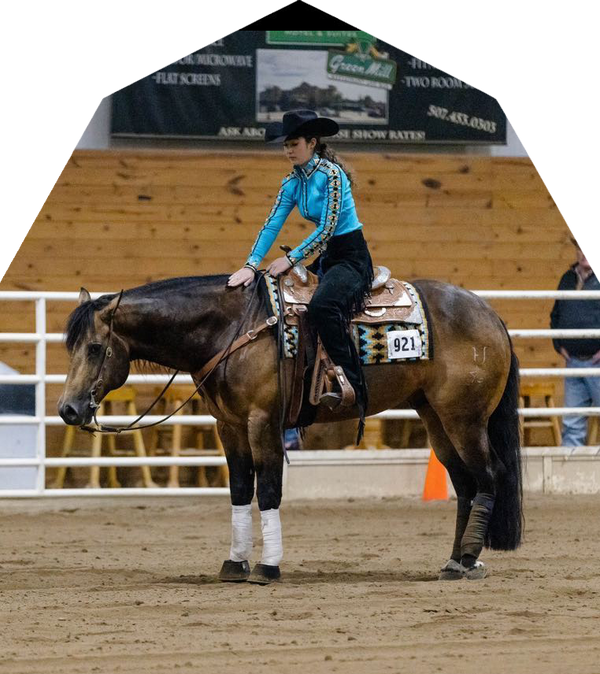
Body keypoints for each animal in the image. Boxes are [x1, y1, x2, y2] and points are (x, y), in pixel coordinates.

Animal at [58, 272, 523, 584]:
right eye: (71, 347)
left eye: (95, 348)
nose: (68, 409)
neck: (233, 329)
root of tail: (491, 315)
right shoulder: (229, 426)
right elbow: (240, 490)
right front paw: (235, 563)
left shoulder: (262, 421)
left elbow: (268, 491)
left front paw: (267, 566)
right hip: (435, 417)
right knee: (464, 484)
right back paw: (456, 561)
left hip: (465, 418)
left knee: (488, 476)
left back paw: (468, 559)